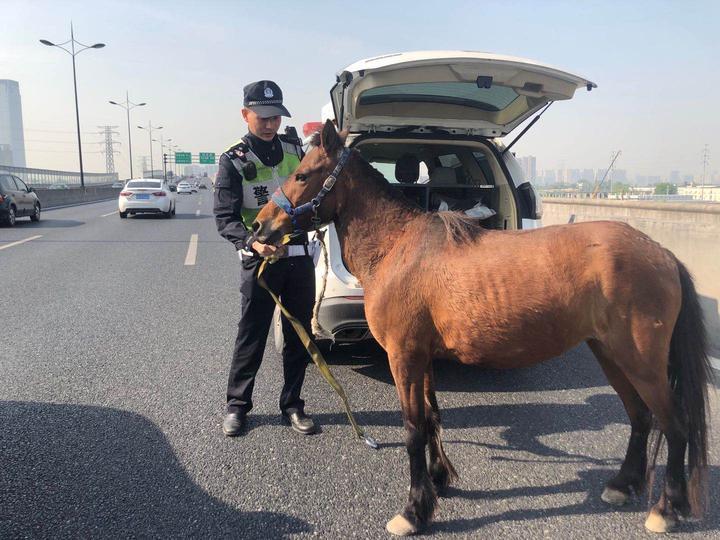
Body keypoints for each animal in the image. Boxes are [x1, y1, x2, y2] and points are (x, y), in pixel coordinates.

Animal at [252, 121, 708, 536]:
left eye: (301, 174)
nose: (259, 227)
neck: (398, 246)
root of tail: (662, 253)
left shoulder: (404, 357)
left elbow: (413, 429)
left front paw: (413, 511)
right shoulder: (422, 358)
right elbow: (432, 417)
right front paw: (437, 483)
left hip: (641, 361)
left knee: (675, 424)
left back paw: (667, 509)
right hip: (611, 354)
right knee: (640, 417)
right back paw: (622, 485)